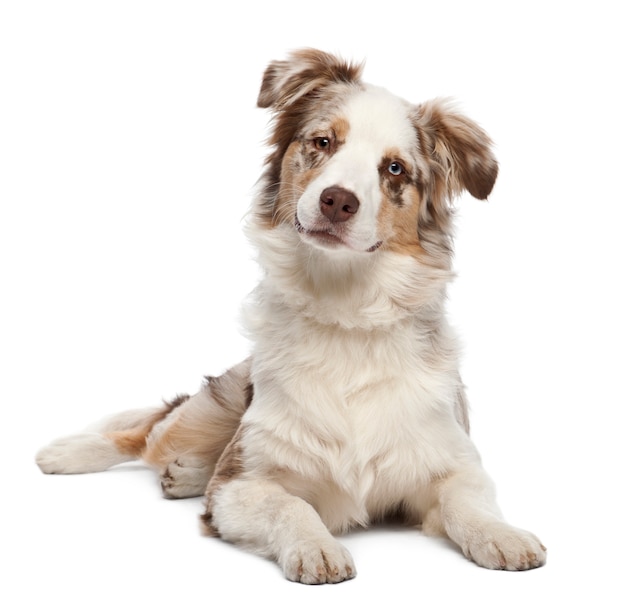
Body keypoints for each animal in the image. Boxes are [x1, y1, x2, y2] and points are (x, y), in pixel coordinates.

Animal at [36, 48, 544, 584]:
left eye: (395, 169)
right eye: (323, 142)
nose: (338, 200)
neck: (346, 312)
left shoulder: (453, 459)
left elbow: (469, 503)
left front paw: (503, 535)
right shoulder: (238, 487)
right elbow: (290, 504)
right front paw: (315, 547)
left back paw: (185, 473)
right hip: (213, 408)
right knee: (147, 433)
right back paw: (69, 452)